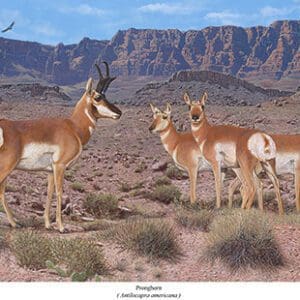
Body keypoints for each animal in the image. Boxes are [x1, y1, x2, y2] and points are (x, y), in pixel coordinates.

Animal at [0, 62, 122, 233]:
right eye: (98, 97)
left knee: (2, 192)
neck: (73, 127)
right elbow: (59, 192)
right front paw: (61, 227)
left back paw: (14, 223)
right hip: (6, 167)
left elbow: (49, 193)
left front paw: (47, 224)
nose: (119, 112)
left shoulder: (50, 171)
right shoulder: (60, 166)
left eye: (106, 96)